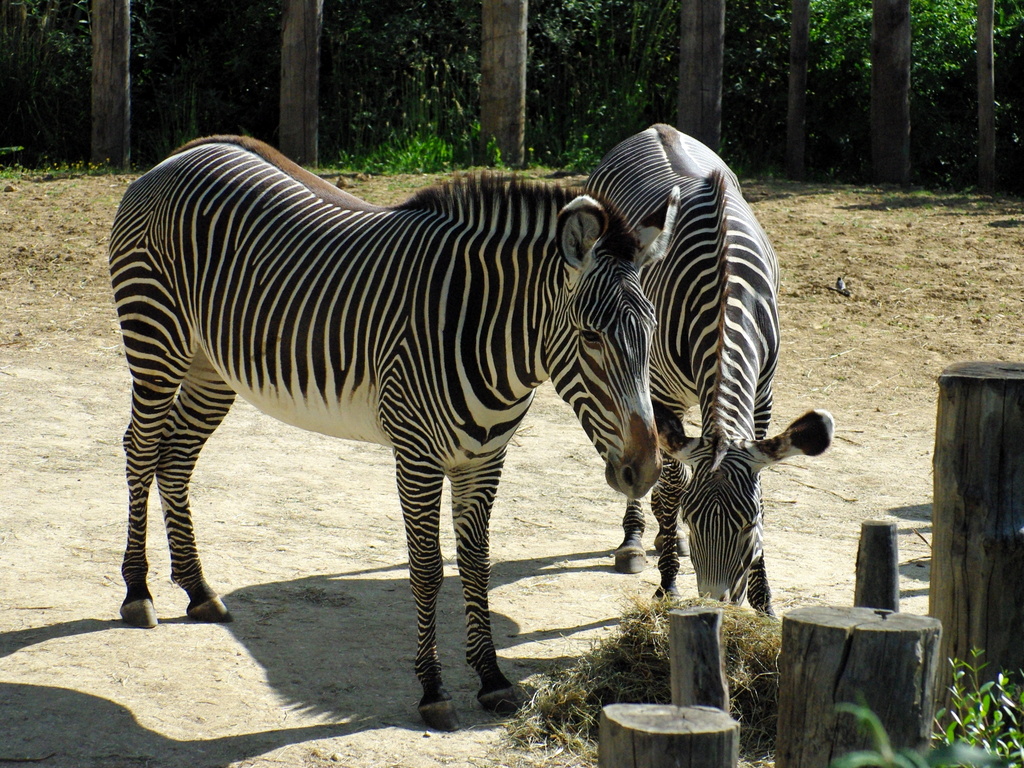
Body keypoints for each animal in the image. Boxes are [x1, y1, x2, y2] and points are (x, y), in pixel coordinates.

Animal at [110, 137, 679, 733]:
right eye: (591, 338)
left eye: (652, 332)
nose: (645, 469)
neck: (486, 329)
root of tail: (181, 155)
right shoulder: (417, 455)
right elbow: (427, 570)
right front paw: (432, 690)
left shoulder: (485, 458)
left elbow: (475, 564)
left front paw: (492, 678)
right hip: (156, 340)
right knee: (140, 451)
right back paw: (138, 592)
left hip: (211, 366)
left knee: (175, 459)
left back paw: (197, 590)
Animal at [585, 128, 831, 618]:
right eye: (694, 520)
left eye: (749, 524)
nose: (717, 604)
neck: (724, 294)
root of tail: (657, 128)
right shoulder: (661, 393)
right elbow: (669, 490)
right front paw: (667, 585)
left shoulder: (763, 393)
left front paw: (763, 601)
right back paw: (635, 540)